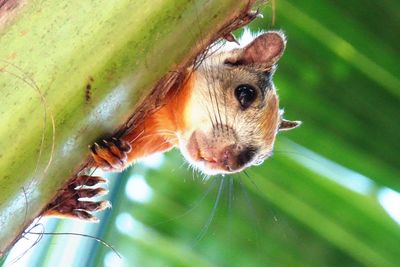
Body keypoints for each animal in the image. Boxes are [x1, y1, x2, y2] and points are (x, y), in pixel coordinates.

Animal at [43, 29, 300, 222]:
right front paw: (106, 152)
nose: (231, 163)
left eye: (260, 161)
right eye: (246, 93)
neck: (169, 118)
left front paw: (109, 158)